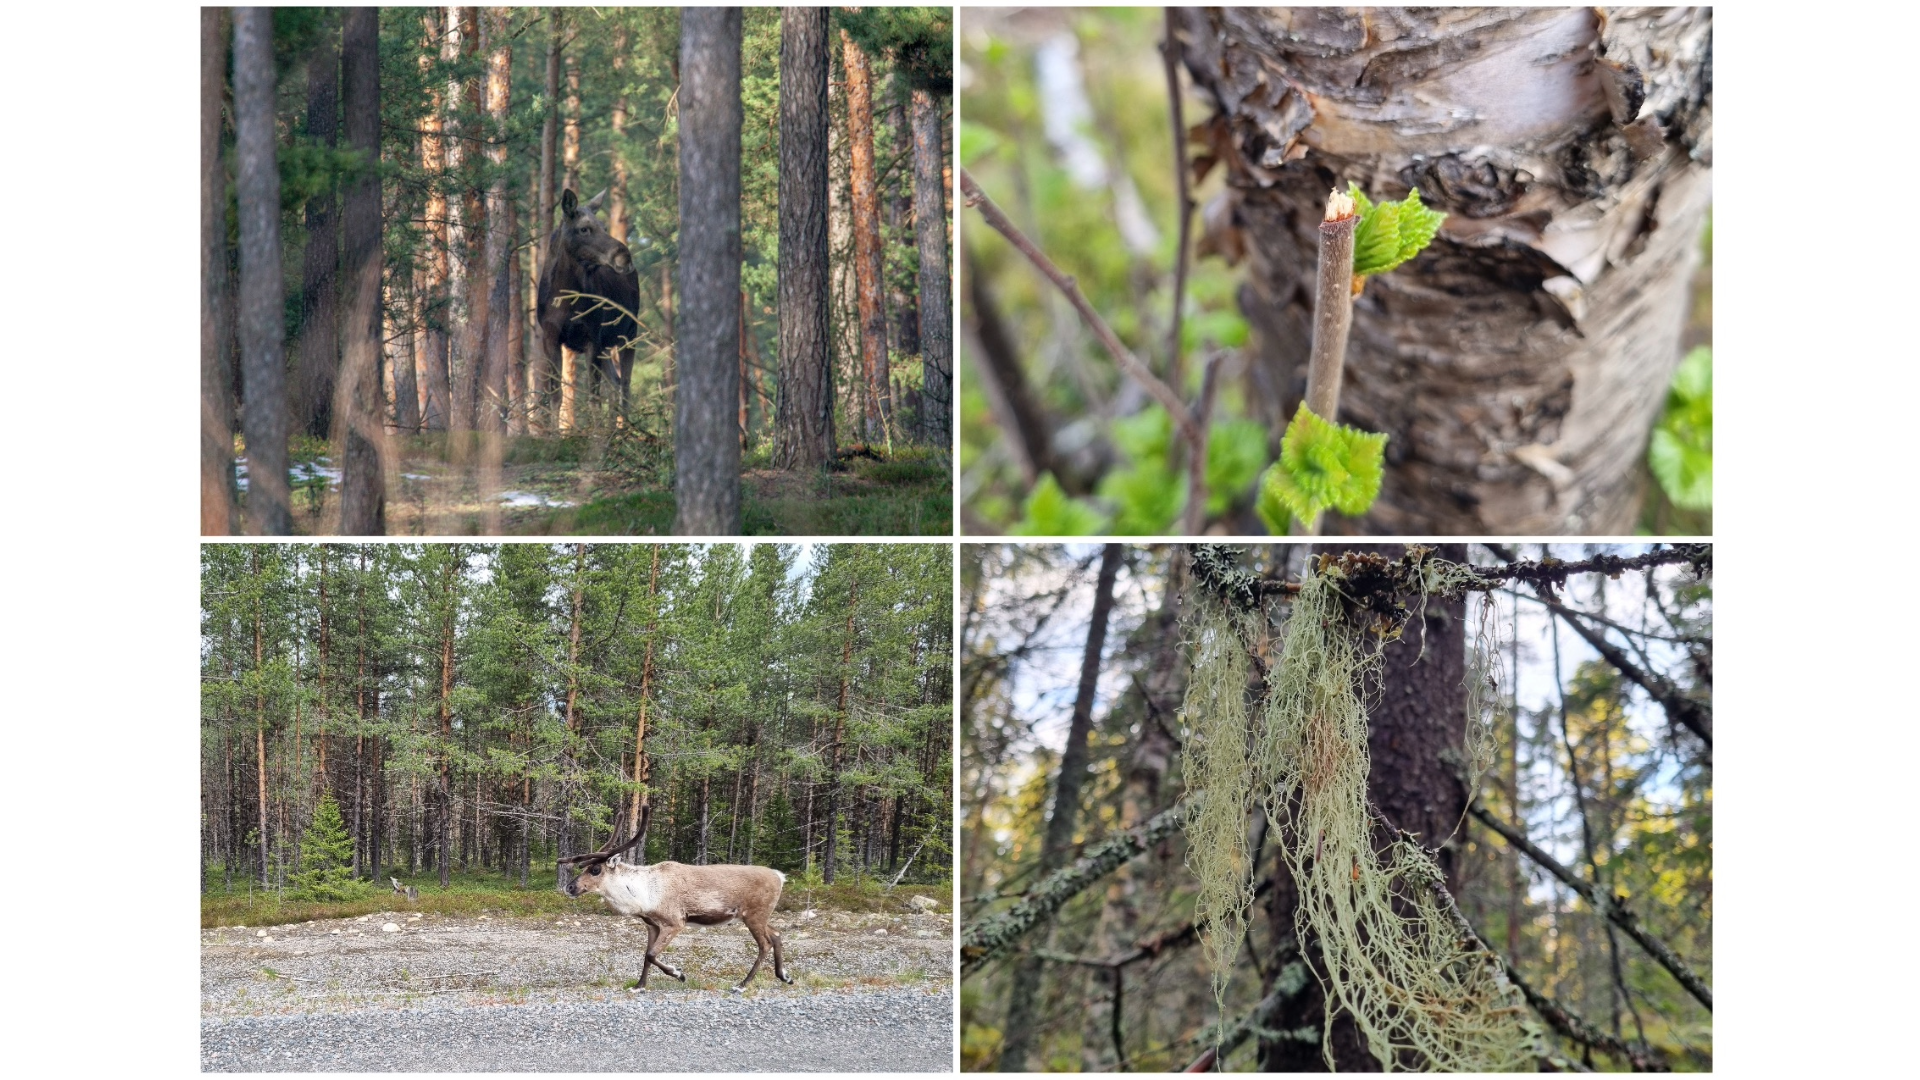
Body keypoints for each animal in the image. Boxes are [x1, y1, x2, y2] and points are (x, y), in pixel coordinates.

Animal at [558, 804, 794, 992]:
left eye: (595, 869)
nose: (569, 887)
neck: (644, 895)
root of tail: (780, 876)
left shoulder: (675, 922)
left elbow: (652, 955)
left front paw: (679, 974)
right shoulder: (652, 925)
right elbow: (646, 955)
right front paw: (639, 986)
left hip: (754, 915)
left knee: (765, 943)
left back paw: (742, 985)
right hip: (758, 916)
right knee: (776, 935)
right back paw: (785, 976)